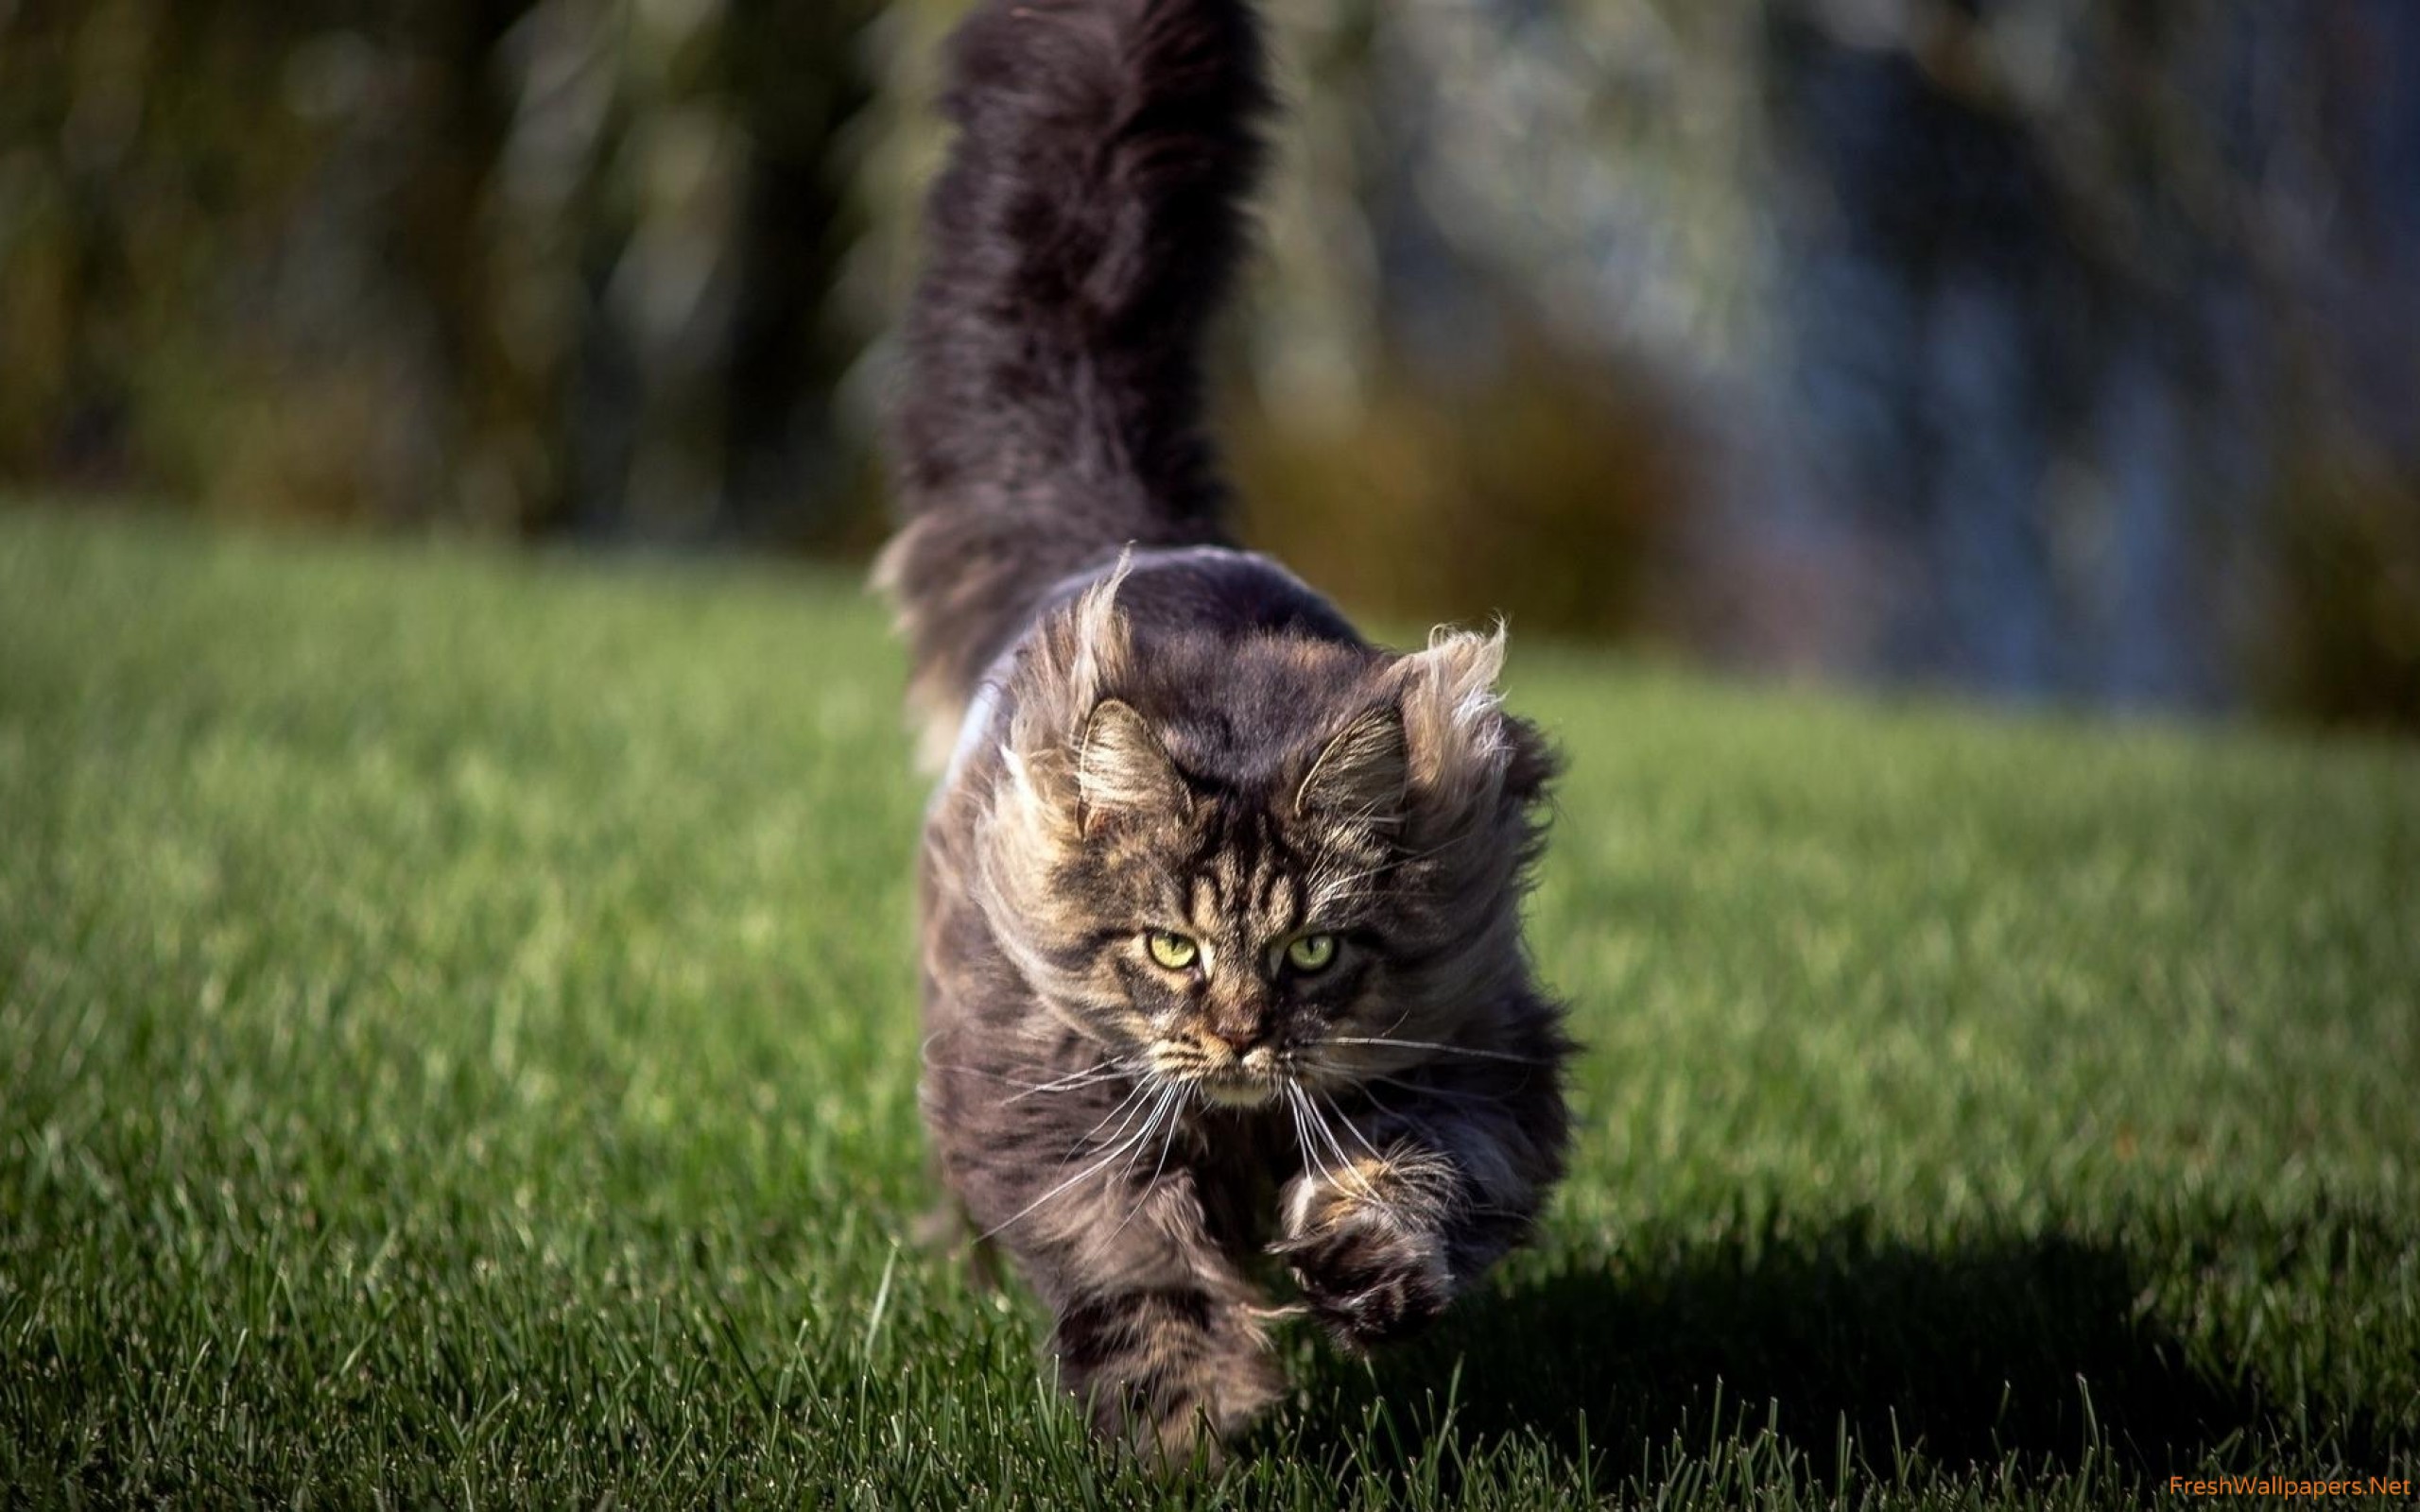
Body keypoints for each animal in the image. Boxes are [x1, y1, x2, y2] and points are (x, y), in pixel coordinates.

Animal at [880, 0, 1578, 1470]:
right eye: (1169, 948)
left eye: (1314, 951)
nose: (1246, 1034)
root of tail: (1141, 537)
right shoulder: (1051, 1109)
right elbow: (1130, 1262)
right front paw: (1195, 1414)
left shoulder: (1488, 1058)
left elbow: (1429, 1169)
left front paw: (1365, 1259)